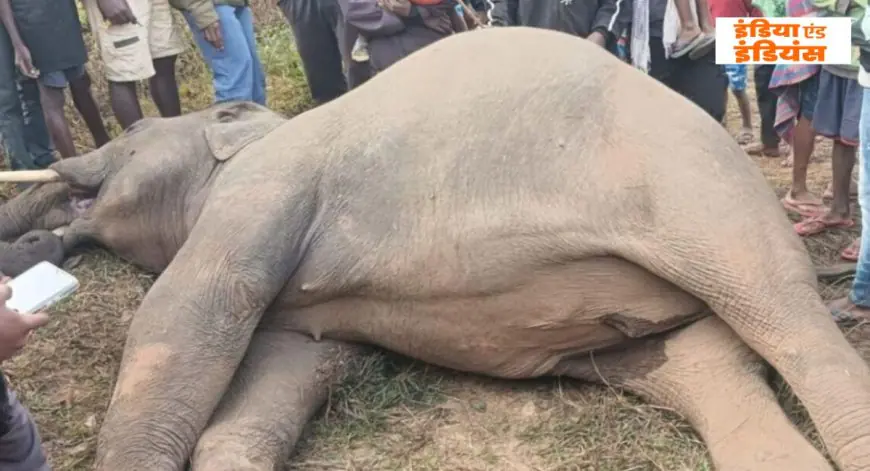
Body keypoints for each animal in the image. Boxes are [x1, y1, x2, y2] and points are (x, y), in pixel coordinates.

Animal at [1, 26, 870, 471]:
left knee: (783, 317)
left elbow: (183, 316)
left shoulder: (264, 187)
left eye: (134, 136)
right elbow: (271, 390)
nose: (39, 239)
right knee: (708, 368)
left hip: (702, 194)